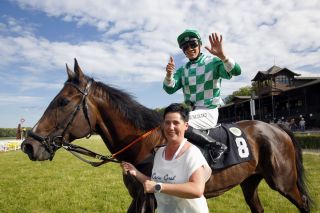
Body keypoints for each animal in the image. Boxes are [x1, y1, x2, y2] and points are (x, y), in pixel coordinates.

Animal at [21, 59, 312, 212]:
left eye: (62, 102)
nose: (28, 145)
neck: (143, 142)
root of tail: (276, 128)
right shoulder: (139, 197)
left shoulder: (149, 198)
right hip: (250, 181)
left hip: (284, 182)